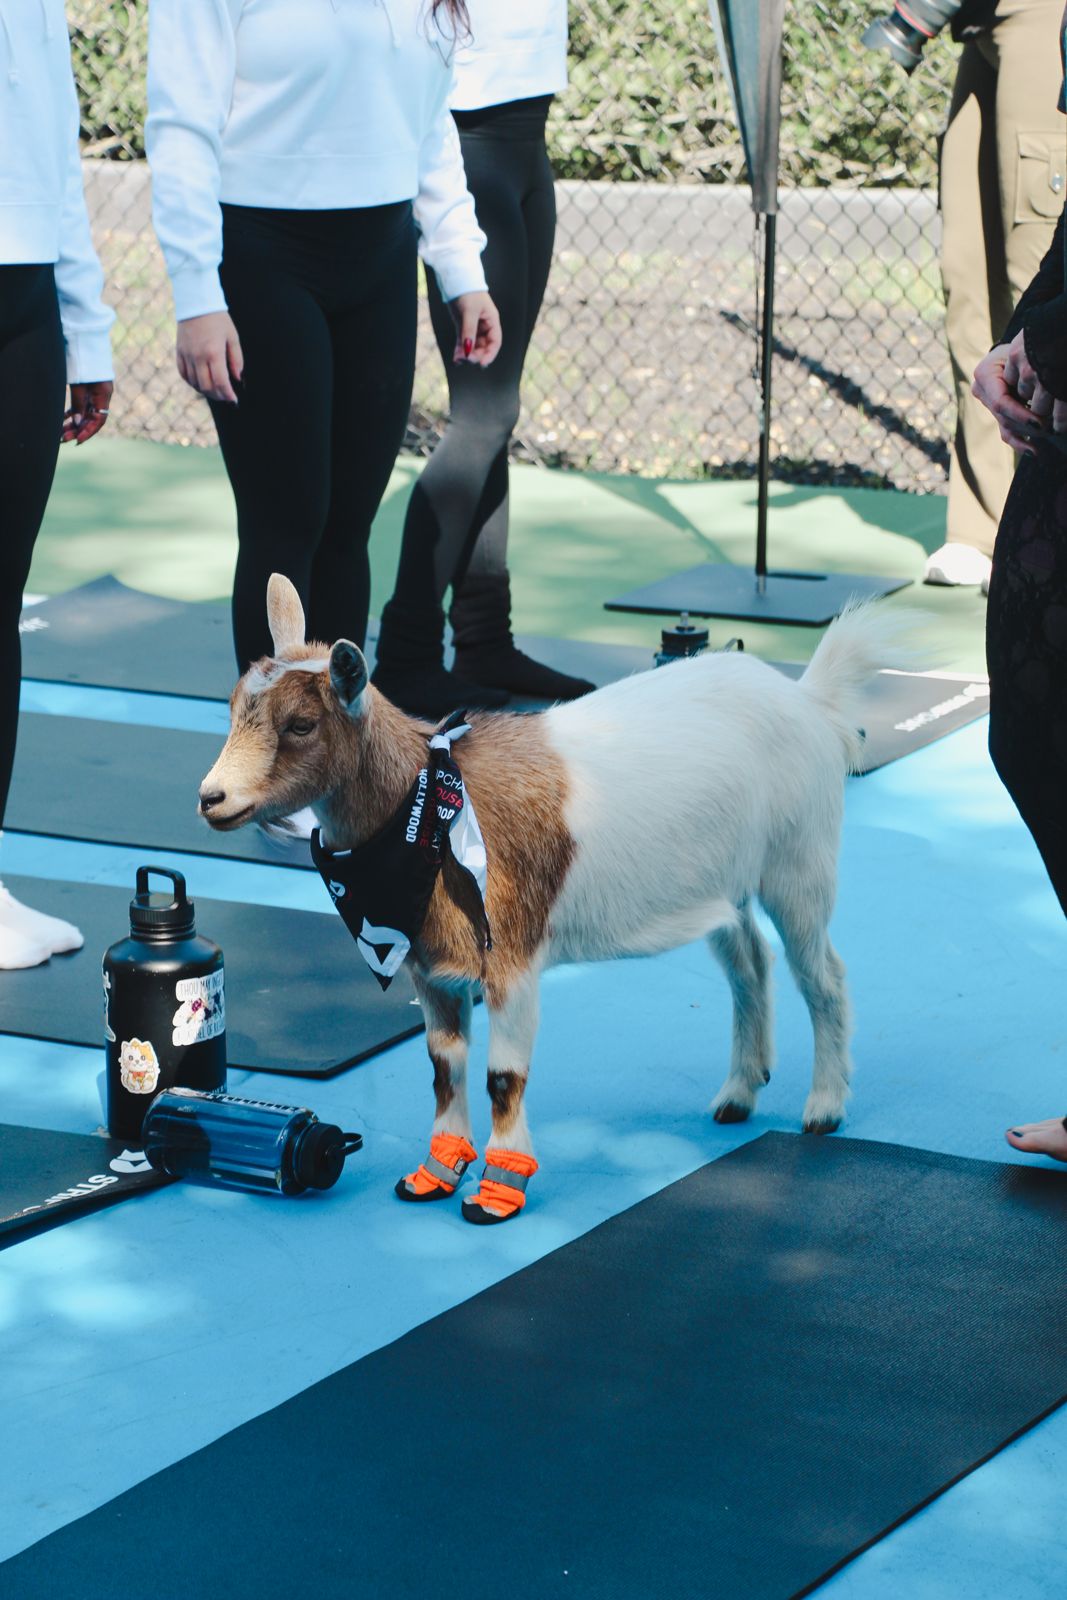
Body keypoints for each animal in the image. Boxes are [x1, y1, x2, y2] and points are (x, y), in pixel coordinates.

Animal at [199, 573, 902, 1223]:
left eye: (301, 724)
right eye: (232, 708)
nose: (211, 798)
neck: (428, 808)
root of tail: (807, 697)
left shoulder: (511, 957)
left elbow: (502, 1078)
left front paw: (497, 1194)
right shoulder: (433, 970)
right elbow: (443, 1067)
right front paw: (434, 1175)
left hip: (799, 861)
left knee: (822, 973)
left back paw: (824, 1107)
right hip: (721, 883)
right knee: (748, 961)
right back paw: (739, 1092)